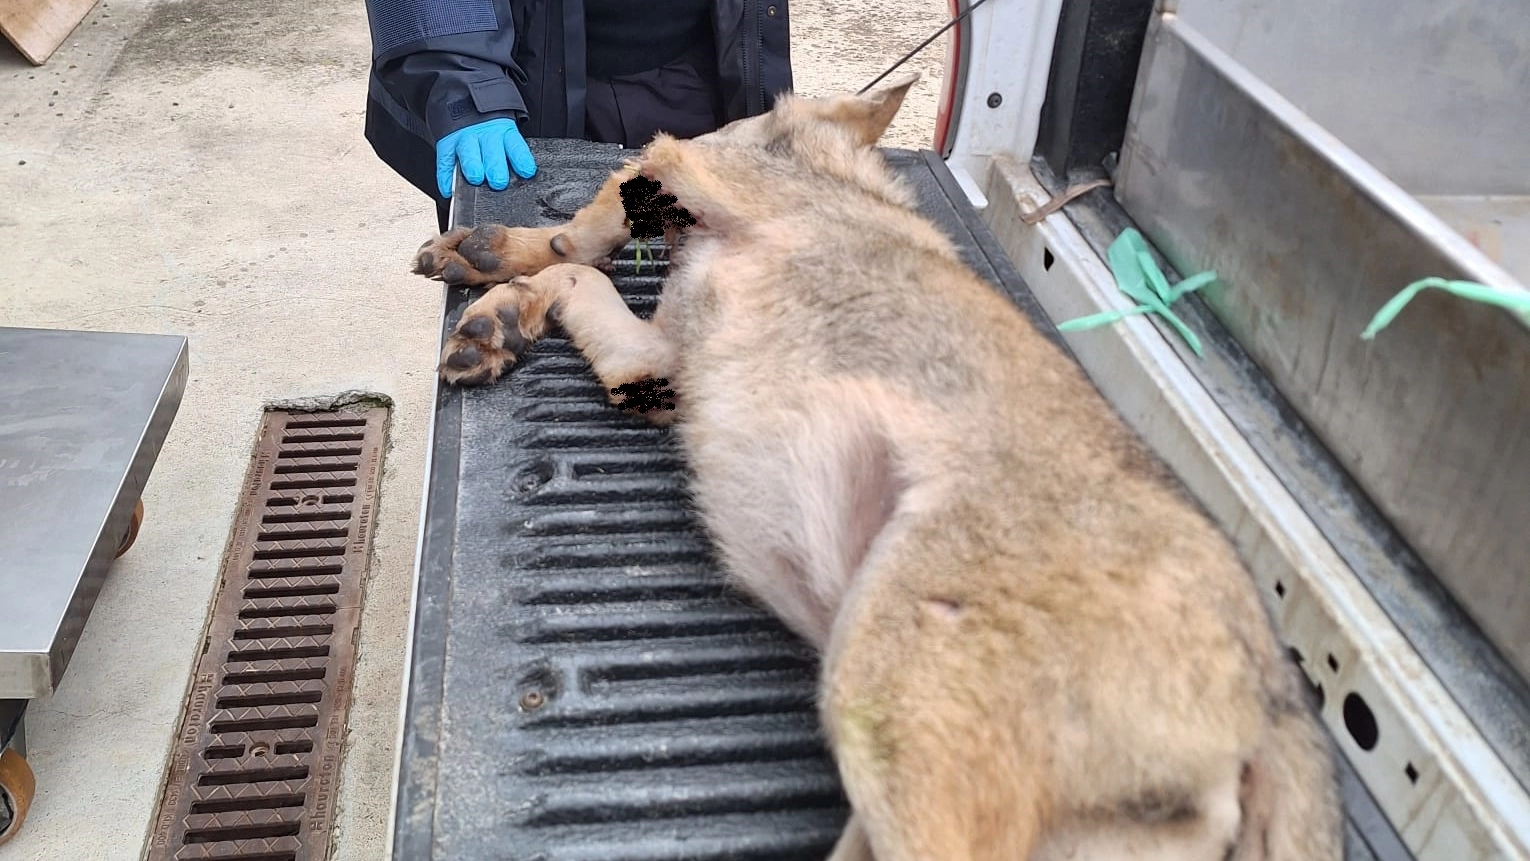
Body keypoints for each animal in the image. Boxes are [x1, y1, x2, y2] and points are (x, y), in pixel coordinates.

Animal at [406, 74, 1340, 861]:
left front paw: (508, 258)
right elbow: (578, 278)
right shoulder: (657, 364)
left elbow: (597, 218)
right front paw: (497, 309)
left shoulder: (693, 169)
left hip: (886, 698)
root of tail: (1275, 701)